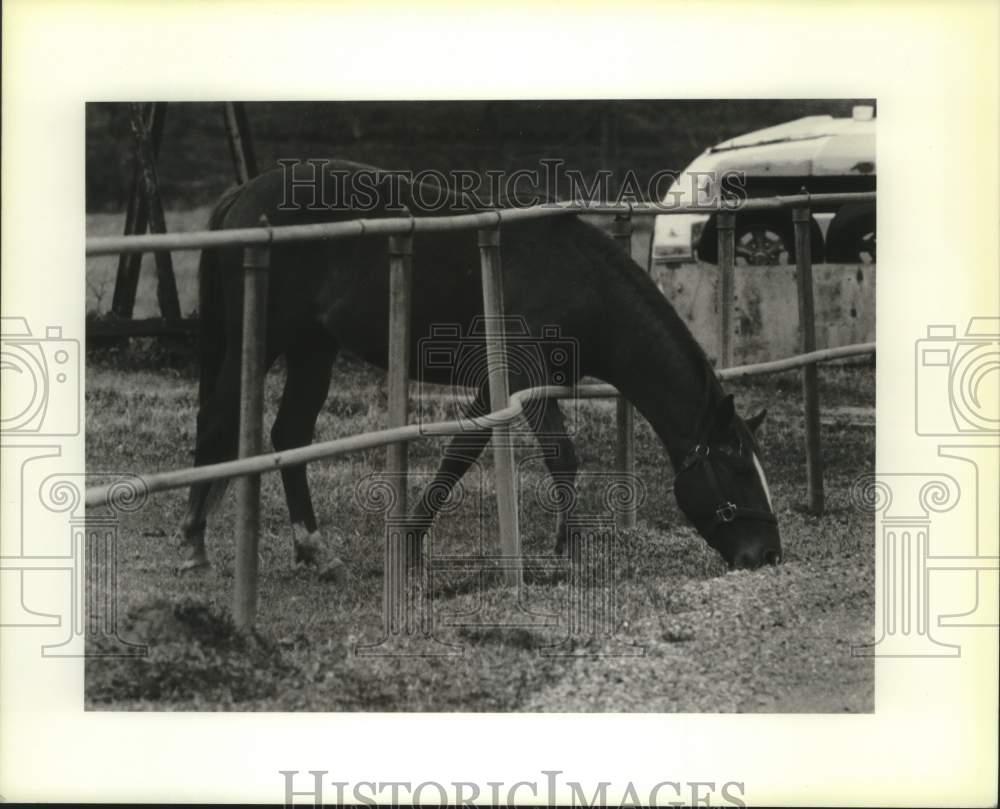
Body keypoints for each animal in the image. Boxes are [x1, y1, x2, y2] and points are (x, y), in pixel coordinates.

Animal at [182, 159, 780, 568]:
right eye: (736, 470)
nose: (768, 554)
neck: (580, 279)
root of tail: (245, 193)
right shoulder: (520, 376)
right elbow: (559, 458)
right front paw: (566, 548)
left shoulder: (507, 384)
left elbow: (460, 453)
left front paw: (411, 543)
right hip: (261, 342)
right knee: (216, 422)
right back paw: (194, 544)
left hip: (313, 349)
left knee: (290, 435)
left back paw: (312, 548)